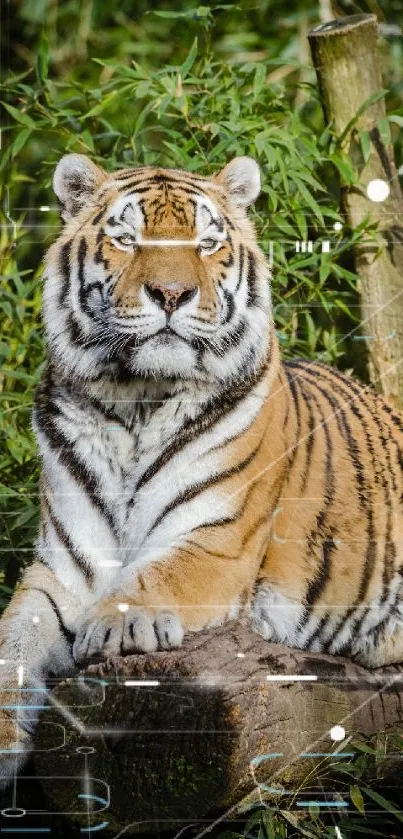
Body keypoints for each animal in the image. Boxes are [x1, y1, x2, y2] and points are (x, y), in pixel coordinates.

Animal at [0, 153, 403, 788]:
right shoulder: (62, 569)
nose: (172, 293)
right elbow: (12, 646)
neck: (135, 402)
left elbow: (157, 575)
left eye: (207, 242)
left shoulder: (217, 542)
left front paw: (115, 625)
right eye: (127, 238)